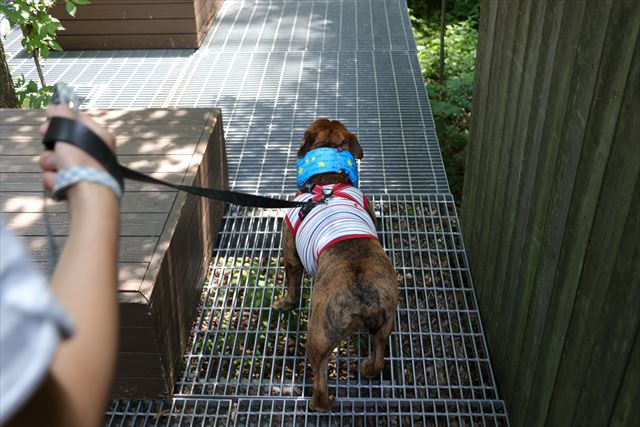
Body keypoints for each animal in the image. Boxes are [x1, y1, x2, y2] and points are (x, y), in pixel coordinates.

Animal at [272, 118, 400, 412]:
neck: (328, 180)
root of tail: (363, 293)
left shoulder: (291, 254)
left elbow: (292, 284)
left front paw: (285, 303)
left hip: (319, 335)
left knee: (319, 378)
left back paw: (319, 403)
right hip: (385, 323)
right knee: (379, 357)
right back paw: (367, 368)